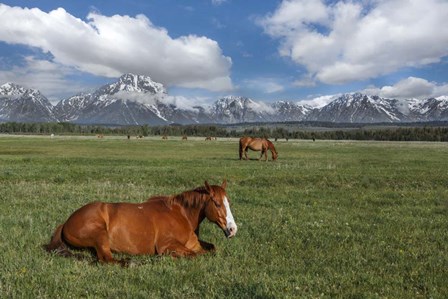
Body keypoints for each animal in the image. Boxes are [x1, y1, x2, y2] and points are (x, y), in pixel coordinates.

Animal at [44, 180, 238, 264]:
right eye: (217, 203)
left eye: (229, 202)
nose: (232, 229)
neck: (181, 215)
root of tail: (67, 221)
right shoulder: (167, 245)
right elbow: (196, 255)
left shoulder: (194, 244)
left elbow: (211, 249)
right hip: (100, 235)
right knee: (106, 259)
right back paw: (130, 262)